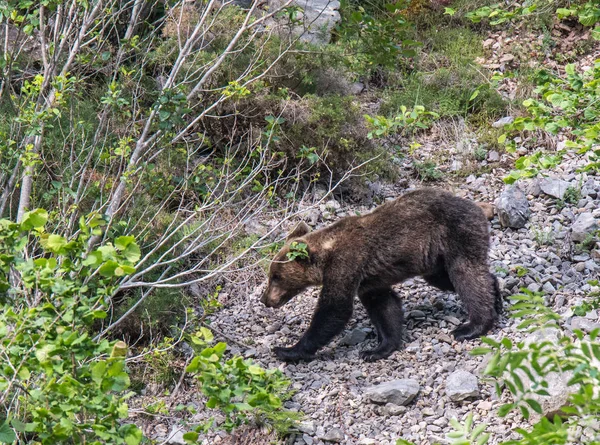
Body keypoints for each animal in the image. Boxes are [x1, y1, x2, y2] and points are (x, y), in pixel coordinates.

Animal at [262, 187, 502, 360]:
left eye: (275, 276)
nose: (265, 299)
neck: (326, 254)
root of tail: (476, 206)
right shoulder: (368, 281)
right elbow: (385, 306)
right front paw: (378, 349)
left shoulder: (346, 264)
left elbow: (334, 310)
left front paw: (286, 350)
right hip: (434, 259)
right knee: (449, 278)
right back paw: (496, 296)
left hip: (456, 233)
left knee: (466, 275)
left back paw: (472, 327)